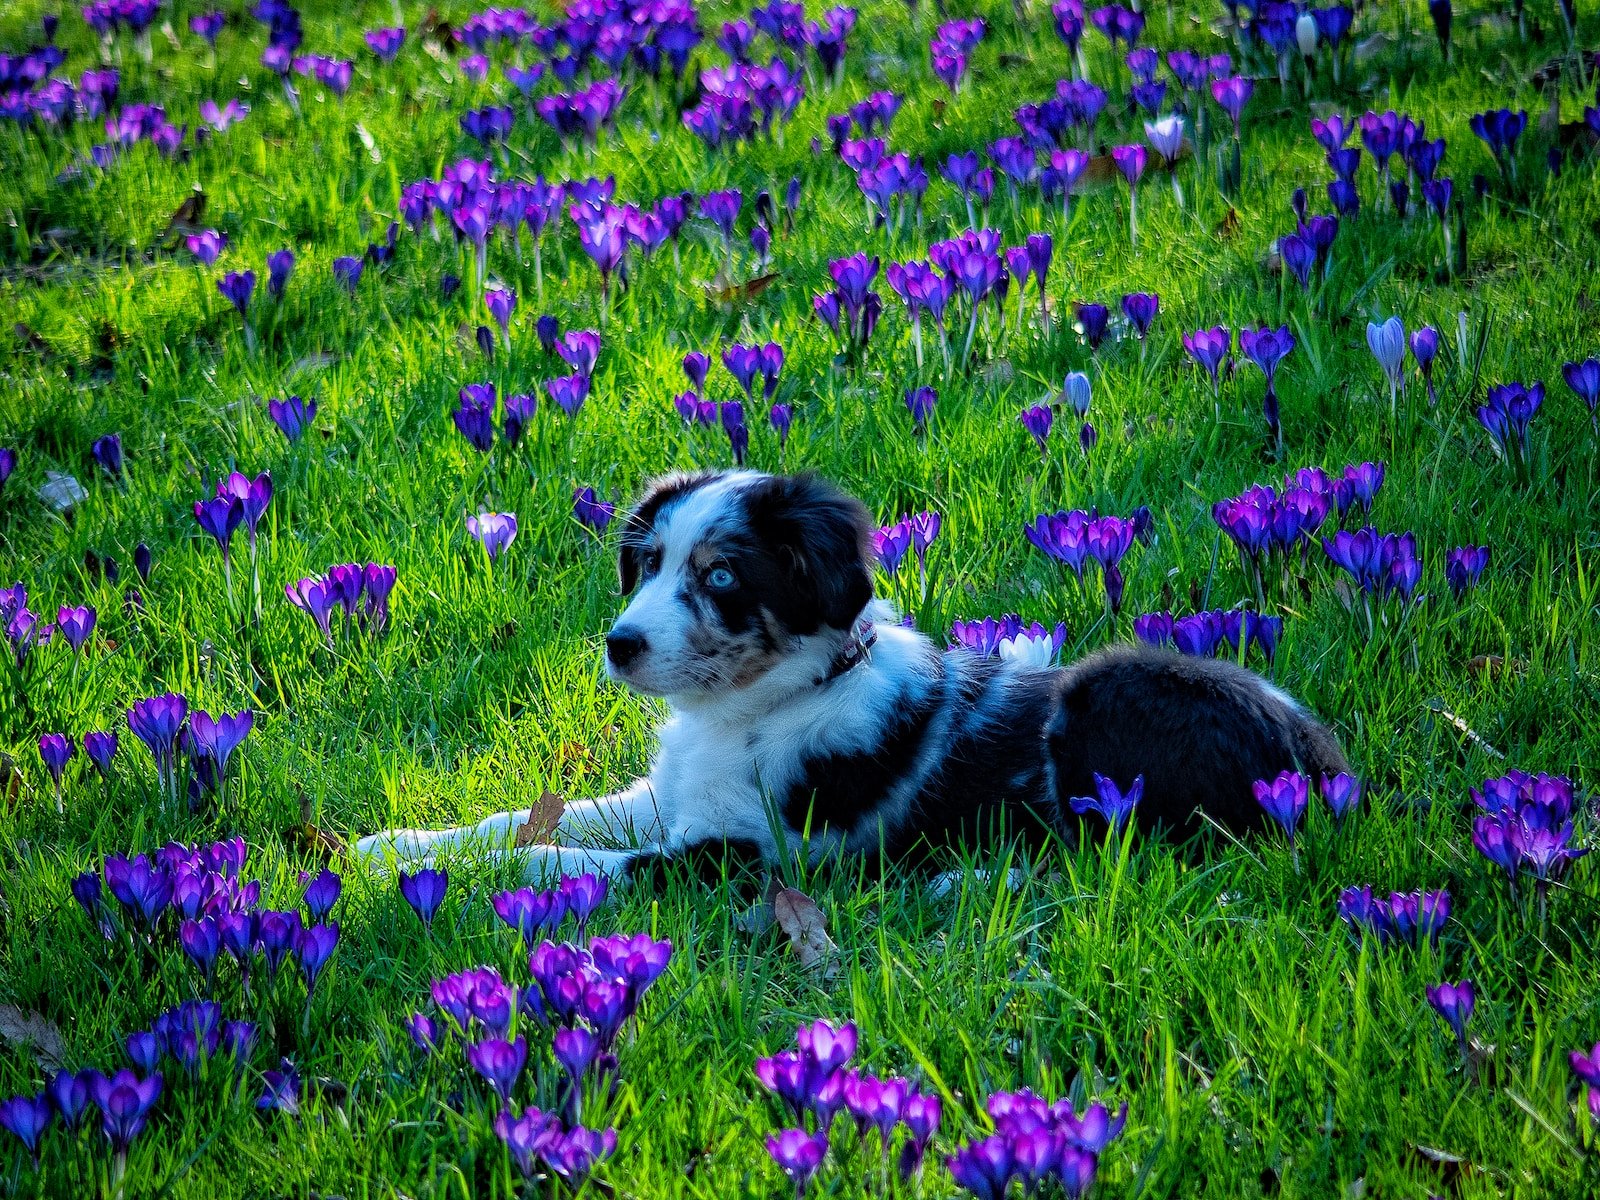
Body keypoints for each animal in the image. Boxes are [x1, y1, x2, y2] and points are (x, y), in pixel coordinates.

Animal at [353, 470, 1350, 883]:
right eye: (649, 564)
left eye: (722, 578)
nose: (621, 643)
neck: (754, 707)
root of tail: (1329, 770)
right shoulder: (671, 798)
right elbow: (531, 819)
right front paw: (394, 846)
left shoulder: (742, 856)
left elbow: (560, 860)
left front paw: (430, 880)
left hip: (1101, 695)